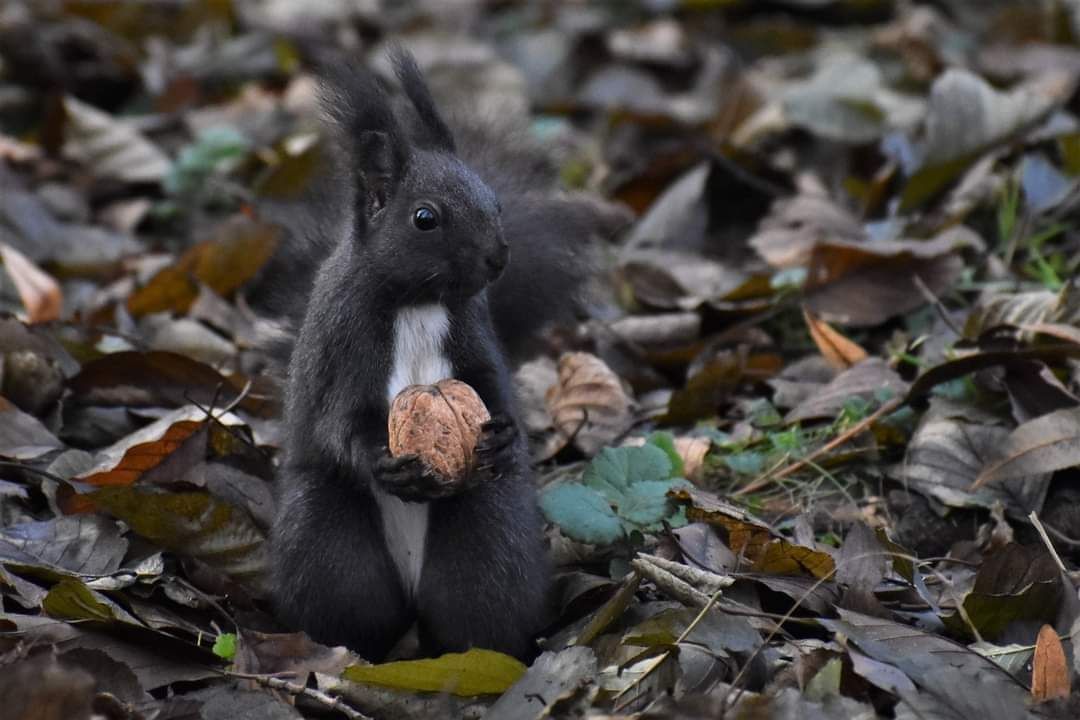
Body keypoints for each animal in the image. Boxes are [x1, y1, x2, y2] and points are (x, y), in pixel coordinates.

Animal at [264, 47, 630, 660]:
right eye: (425, 218)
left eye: (496, 202)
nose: (498, 257)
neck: (418, 302)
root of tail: (412, 590)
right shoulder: (345, 340)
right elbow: (341, 421)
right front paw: (384, 461)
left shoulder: (473, 331)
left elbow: (492, 383)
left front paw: (504, 434)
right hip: (329, 548)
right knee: (352, 606)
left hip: (486, 535)